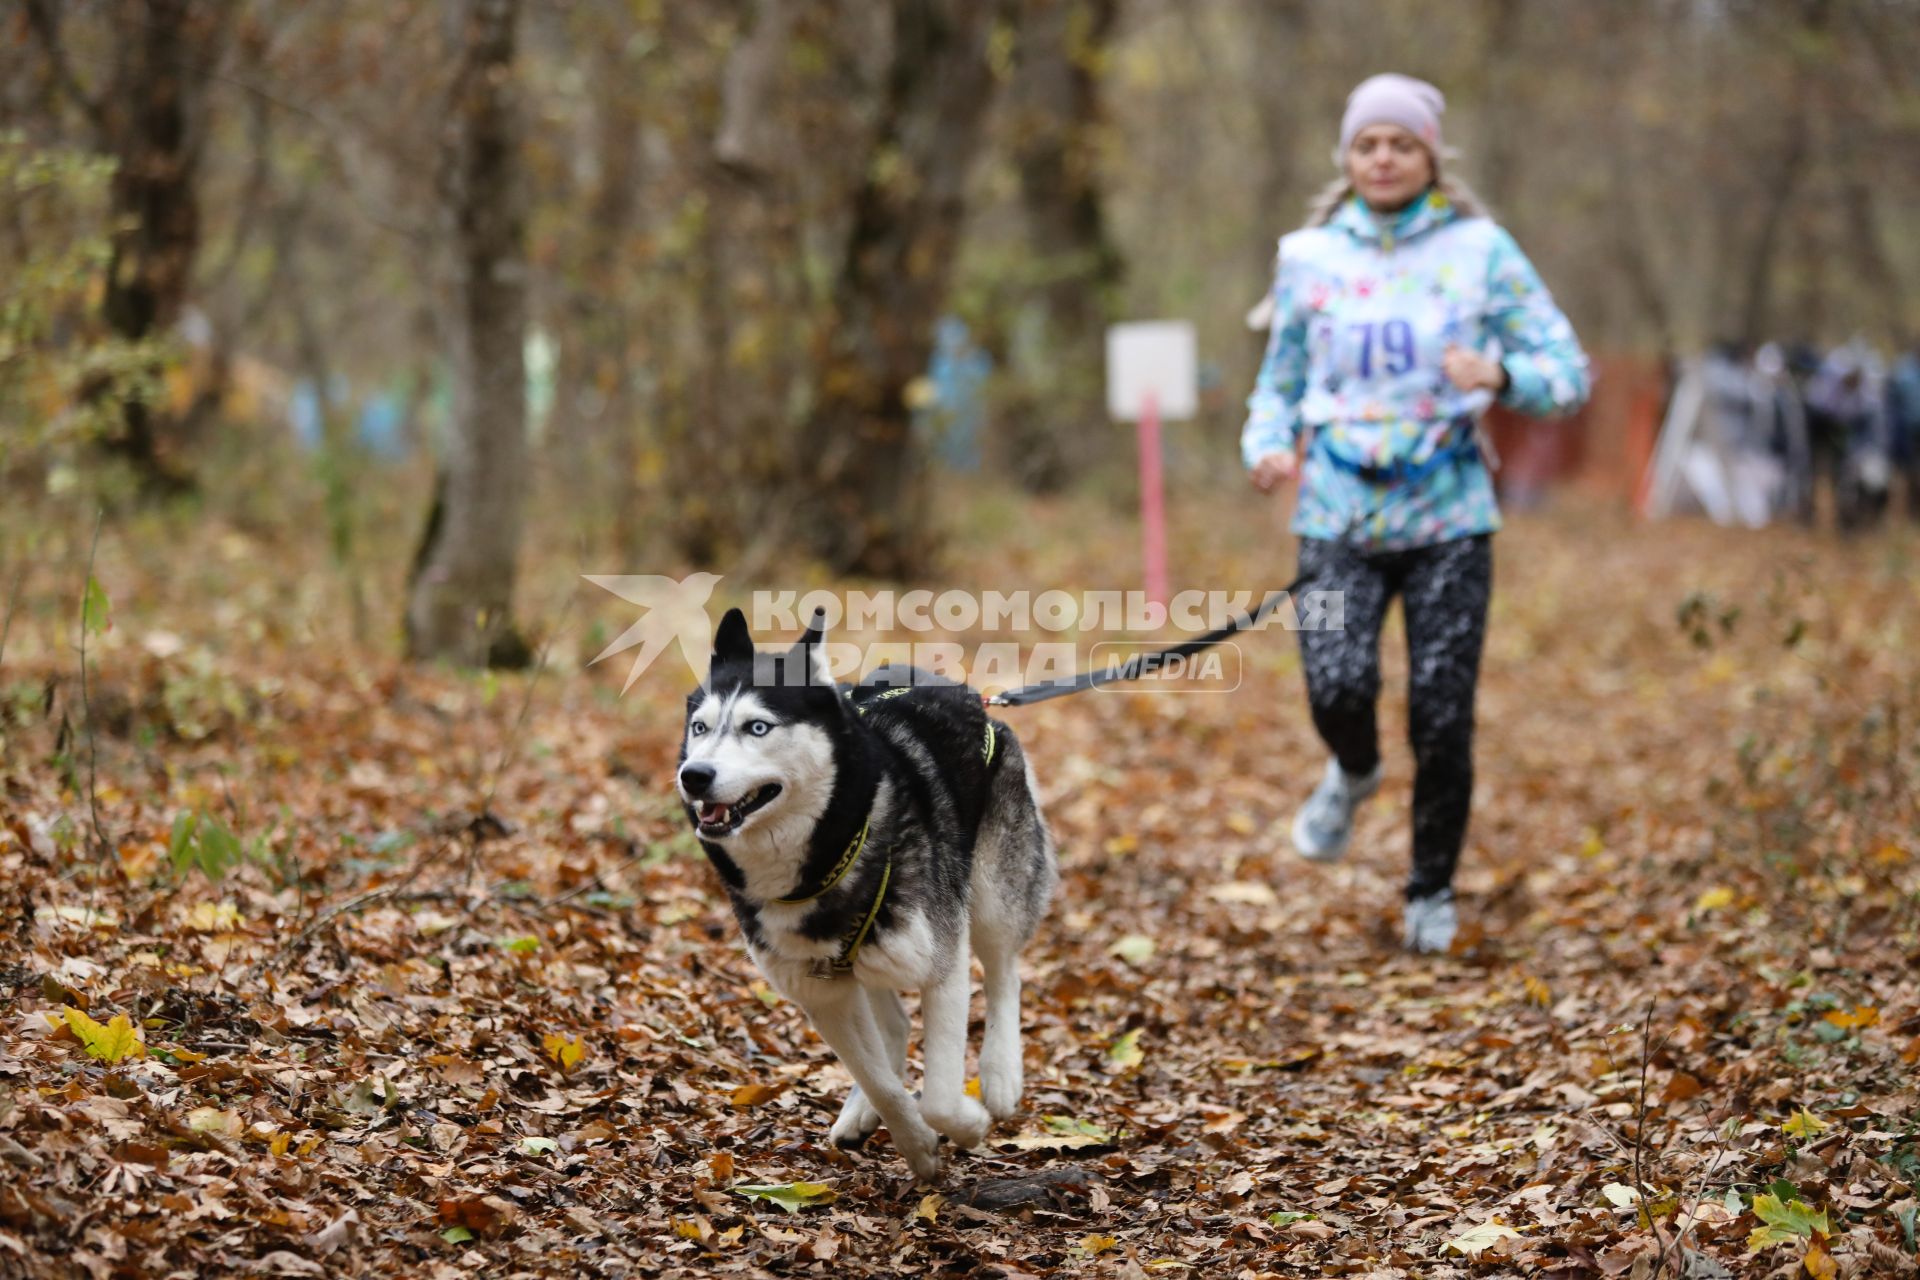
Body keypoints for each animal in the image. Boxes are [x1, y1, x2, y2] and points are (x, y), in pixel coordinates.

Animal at [683, 610, 1059, 1182]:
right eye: (700, 728)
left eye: (758, 727)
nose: (694, 775)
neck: (826, 860)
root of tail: (968, 693)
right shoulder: (820, 994)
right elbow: (879, 1078)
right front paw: (916, 1144)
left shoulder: (942, 964)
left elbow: (940, 1096)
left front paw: (968, 1124)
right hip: (870, 958)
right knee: (893, 1026)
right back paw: (861, 1111)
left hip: (994, 893)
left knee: (1003, 973)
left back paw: (999, 1077)